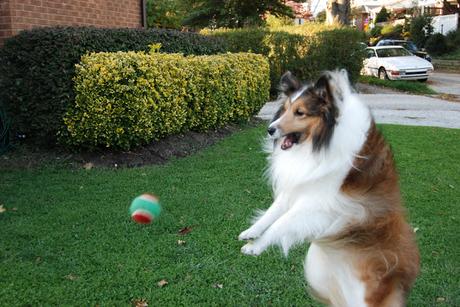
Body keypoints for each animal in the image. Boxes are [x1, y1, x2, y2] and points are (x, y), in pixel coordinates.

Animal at [239, 70, 418, 307]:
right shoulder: (297, 187)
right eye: (284, 109)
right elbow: (271, 213)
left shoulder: (318, 204)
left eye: (300, 112)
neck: (323, 141)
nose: (270, 130)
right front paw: (251, 232)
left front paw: (255, 247)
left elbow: (280, 223)